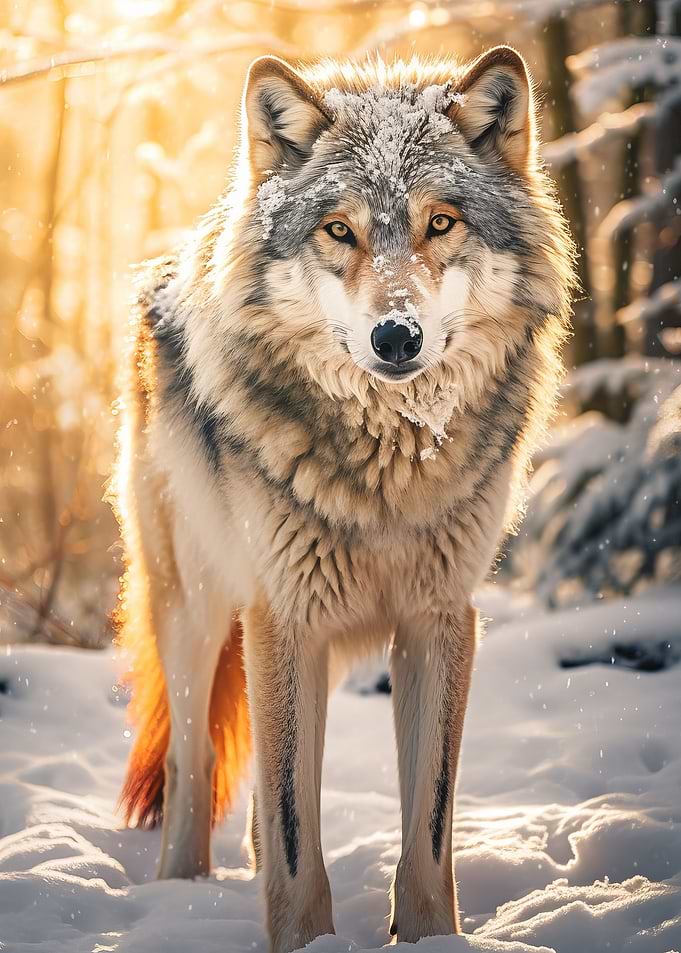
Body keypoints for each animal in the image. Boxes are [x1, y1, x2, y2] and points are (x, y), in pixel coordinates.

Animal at [113, 46, 575, 953]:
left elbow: (426, 824)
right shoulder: (284, 615)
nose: (395, 337)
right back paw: (178, 892)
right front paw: (300, 939)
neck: (392, 467)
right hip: (198, 611)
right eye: (339, 230)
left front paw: (429, 935)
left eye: (440, 223)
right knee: (194, 764)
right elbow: (296, 832)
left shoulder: (439, 618)